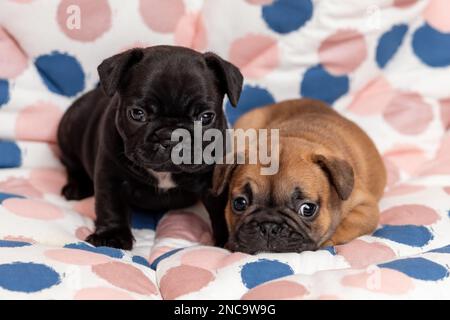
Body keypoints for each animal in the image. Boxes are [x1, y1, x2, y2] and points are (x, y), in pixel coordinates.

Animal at [57, 45, 243, 250]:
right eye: (137, 114)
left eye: (206, 117)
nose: (171, 136)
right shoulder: (110, 174)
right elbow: (110, 205)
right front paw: (111, 236)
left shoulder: (215, 179)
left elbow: (220, 209)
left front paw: (227, 239)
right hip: (69, 132)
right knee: (71, 164)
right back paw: (76, 187)